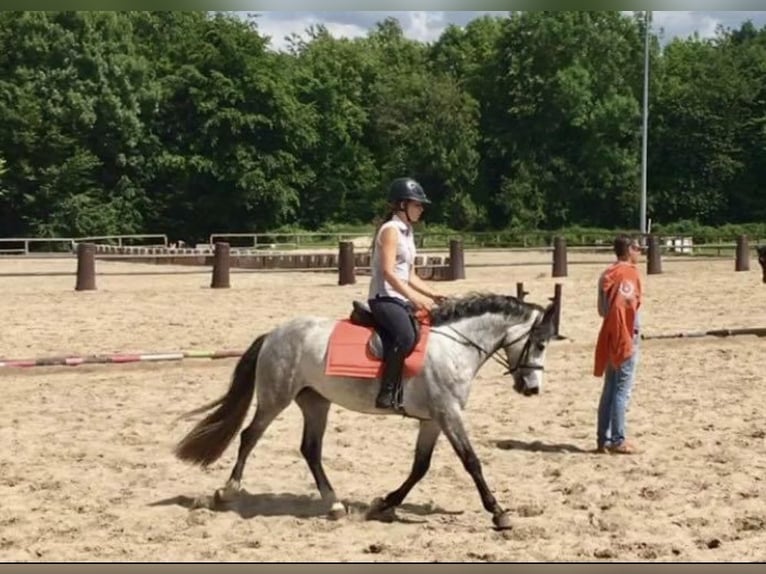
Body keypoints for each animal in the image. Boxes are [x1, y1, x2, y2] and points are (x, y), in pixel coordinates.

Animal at [172, 292, 560, 532]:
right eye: (540, 343)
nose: (532, 389)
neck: (455, 346)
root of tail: (274, 334)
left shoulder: (433, 420)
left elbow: (420, 467)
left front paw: (384, 504)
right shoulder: (448, 414)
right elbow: (471, 462)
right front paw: (499, 513)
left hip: (316, 402)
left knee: (310, 449)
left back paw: (334, 504)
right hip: (275, 398)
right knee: (249, 436)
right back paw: (227, 491)